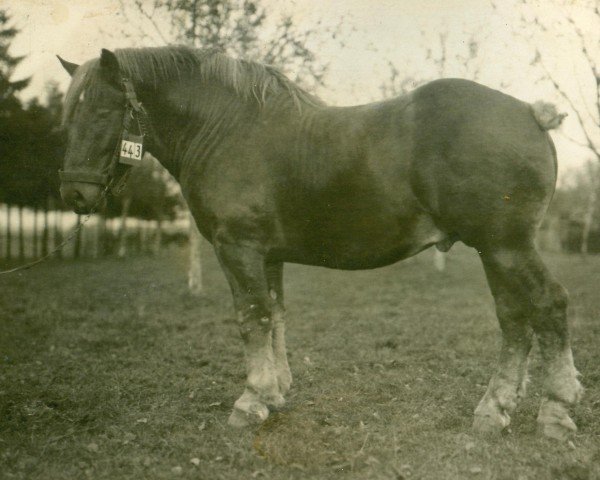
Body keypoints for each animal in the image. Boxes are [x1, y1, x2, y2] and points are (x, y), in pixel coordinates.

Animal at [56, 47, 580, 440]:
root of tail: (531, 113)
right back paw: (494, 411)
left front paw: (250, 400)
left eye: (103, 110)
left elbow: (251, 318)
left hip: (505, 247)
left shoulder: (238, 249)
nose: (74, 194)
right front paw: (274, 393)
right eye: (68, 116)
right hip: (496, 251)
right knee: (514, 320)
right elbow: (275, 315)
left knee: (549, 306)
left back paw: (556, 409)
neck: (225, 127)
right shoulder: (267, 256)